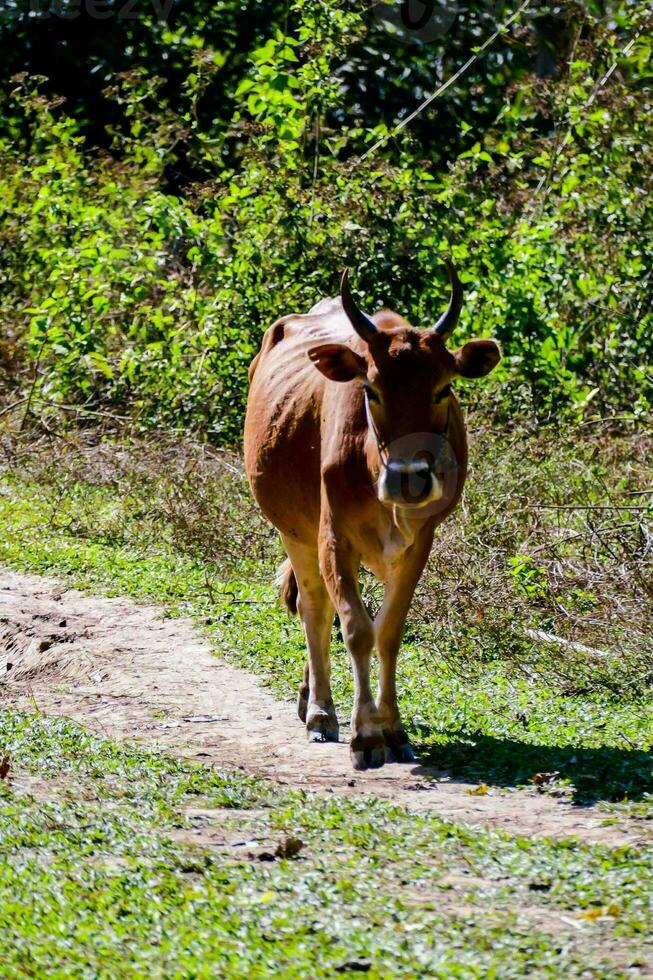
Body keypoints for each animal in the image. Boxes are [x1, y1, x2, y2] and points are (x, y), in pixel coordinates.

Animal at [244, 264, 500, 768]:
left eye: (444, 387)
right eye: (371, 389)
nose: (409, 479)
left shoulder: (420, 543)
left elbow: (389, 631)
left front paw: (393, 727)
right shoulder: (333, 538)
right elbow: (356, 629)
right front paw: (365, 733)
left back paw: (309, 698)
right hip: (295, 531)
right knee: (315, 609)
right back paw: (320, 711)